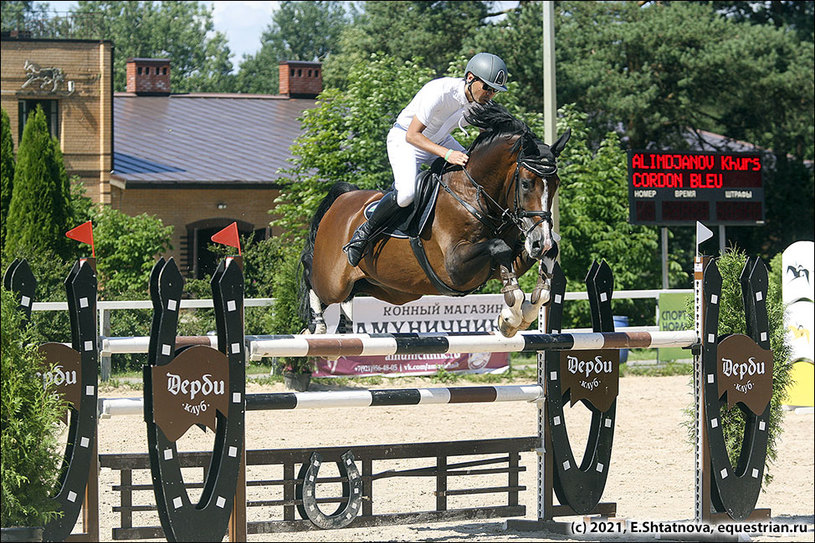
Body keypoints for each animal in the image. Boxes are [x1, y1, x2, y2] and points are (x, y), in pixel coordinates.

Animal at [296, 102, 572, 338]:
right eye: (526, 184)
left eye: (556, 184)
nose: (540, 242)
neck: (473, 196)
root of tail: (344, 198)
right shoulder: (455, 267)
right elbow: (499, 247)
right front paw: (511, 316)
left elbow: (540, 259)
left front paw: (527, 306)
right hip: (332, 279)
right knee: (312, 272)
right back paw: (317, 325)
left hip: (387, 288)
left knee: (350, 294)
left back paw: (340, 327)